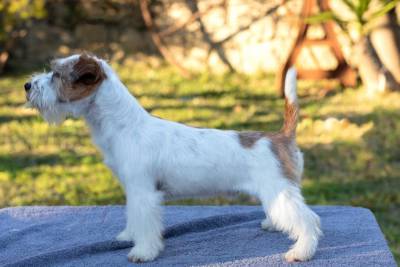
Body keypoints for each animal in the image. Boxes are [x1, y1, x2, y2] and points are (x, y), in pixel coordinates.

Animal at [25, 54, 320, 264]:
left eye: (57, 75)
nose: (26, 85)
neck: (124, 125)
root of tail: (280, 136)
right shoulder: (133, 191)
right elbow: (133, 217)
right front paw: (129, 236)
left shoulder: (144, 193)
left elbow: (146, 224)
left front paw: (143, 251)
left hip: (279, 191)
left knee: (309, 220)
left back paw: (301, 251)